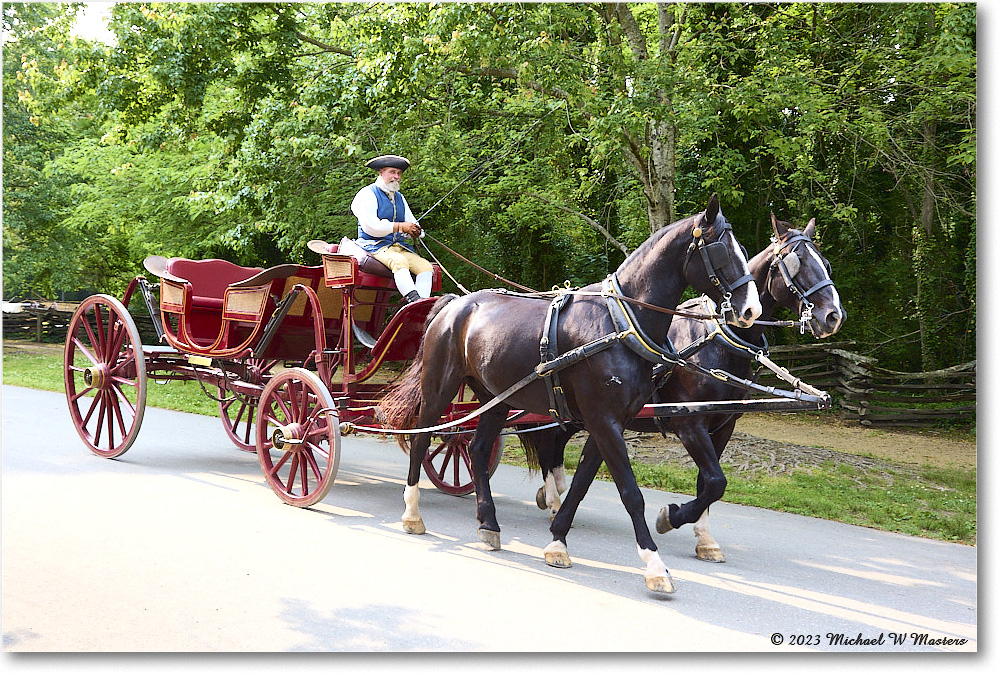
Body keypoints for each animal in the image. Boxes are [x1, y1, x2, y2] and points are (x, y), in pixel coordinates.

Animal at [378, 194, 760, 592]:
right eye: (721, 250)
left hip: (496, 398)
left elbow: (581, 484)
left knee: (477, 449)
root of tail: (453, 305)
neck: (619, 323)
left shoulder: (611, 422)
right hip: (440, 388)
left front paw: (558, 541)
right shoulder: (613, 421)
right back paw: (412, 513)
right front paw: (655, 563)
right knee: (422, 440)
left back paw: (488, 523)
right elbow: (631, 493)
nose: (751, 309)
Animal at [524, 215, 844, 560]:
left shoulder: (723, 425)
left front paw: (705, 540)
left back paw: (551, 497)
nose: (833, 317)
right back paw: (553, 500)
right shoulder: (690, 423)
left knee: (553, 445)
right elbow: (716, 481)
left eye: (826, 263)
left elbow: (708, 484)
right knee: (548, 444)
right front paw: (671, 517)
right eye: (797, 264)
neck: (718, 339)